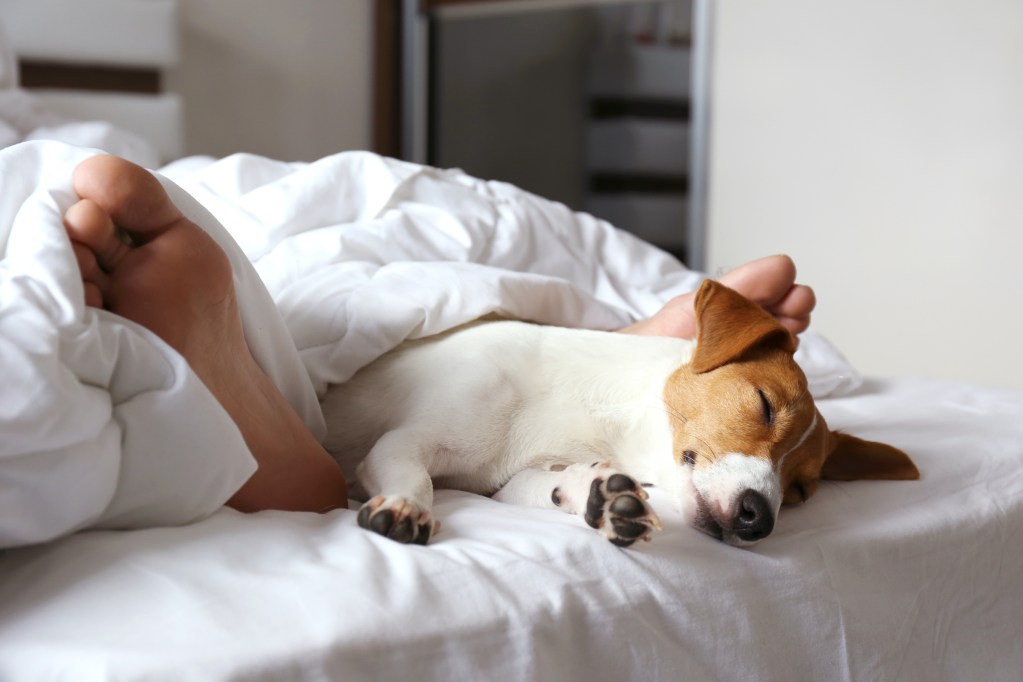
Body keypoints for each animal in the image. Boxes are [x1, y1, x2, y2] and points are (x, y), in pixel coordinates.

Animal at [321, 282, 920, 548]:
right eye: (764, 405)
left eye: (800, 492)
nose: (759, 519)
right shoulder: (399, 445)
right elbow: (415, 475)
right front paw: (406, 506)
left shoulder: (512, 480)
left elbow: (550, 487)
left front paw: (602, 497)